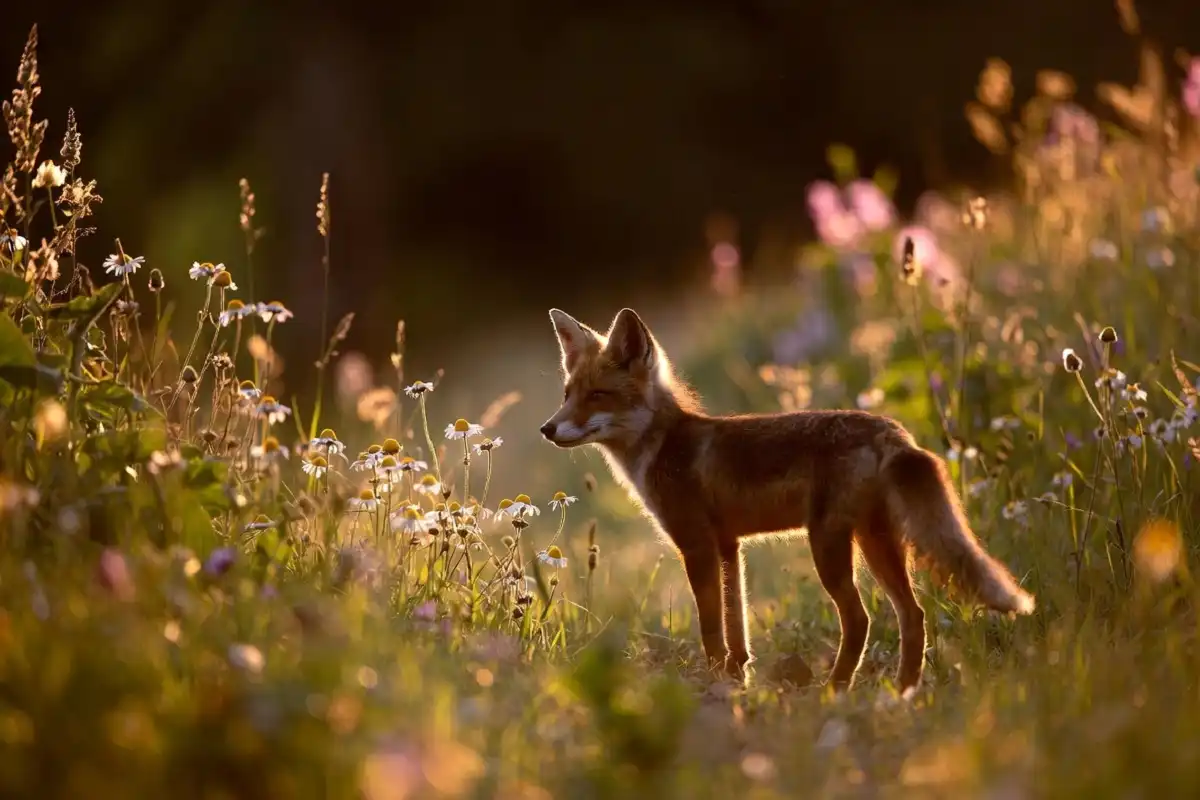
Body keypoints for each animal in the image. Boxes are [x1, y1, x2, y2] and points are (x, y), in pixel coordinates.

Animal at [539, 306, 1035, 695]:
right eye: (566, 395)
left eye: (597, 395)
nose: (547, 428)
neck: (663, 446)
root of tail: (892, 431)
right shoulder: (728, 546)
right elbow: (736, 627)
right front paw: (737, 680)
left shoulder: (696, 546)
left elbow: (711, 629)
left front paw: (717, 684)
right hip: (876, 541)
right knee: (913, 616)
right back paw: (902, 695)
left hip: (829, 545)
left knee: (860, 620)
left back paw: (835, 691)